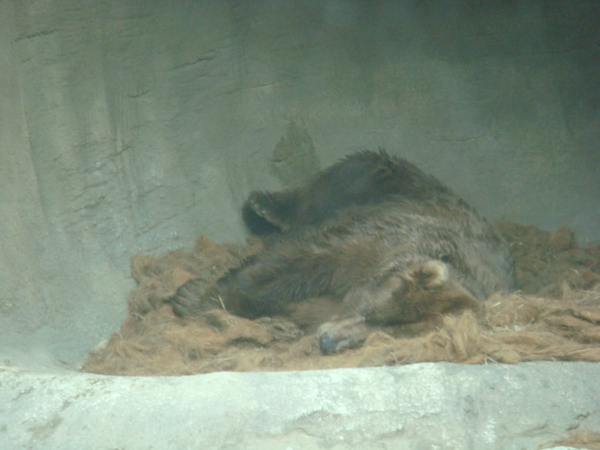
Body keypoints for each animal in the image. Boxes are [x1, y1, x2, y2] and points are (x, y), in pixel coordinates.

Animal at [169, 151, 516, 356]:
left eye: (384, 334)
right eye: (371, 314)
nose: (327, 342)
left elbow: (305, 307)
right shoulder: (373, 244)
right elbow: (294, 263)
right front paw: (195, 297)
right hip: (385, 181)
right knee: (337, 181)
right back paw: (264, 206)